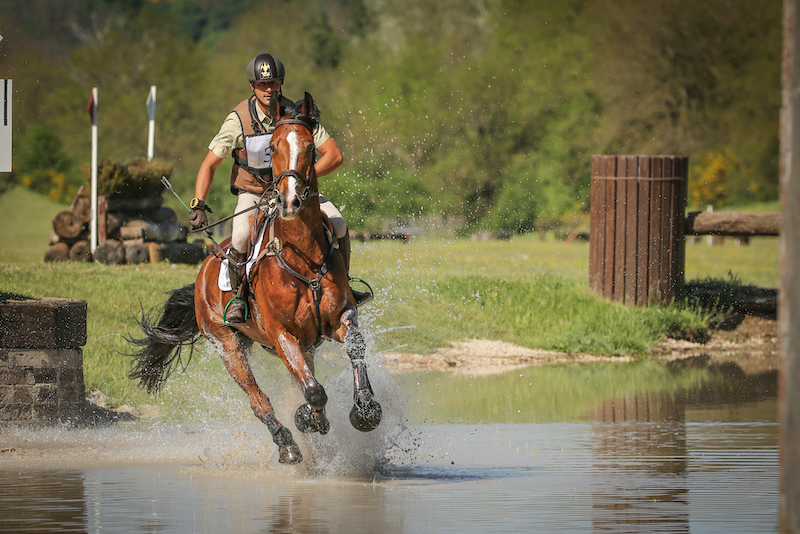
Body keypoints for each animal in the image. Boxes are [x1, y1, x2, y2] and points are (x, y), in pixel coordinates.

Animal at [127, 91, 382, 464]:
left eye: (310, 147)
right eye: (272, 147)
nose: (289, 201)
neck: (302, 257)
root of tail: (203, 273)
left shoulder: (340, 317)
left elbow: (353, 349)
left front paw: (365, 409)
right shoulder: (282, 333)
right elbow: (314, 391)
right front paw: (310, 418)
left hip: (294, 343)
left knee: (300, 376)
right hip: (228, 345)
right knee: (258, 399)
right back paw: (287, 443)